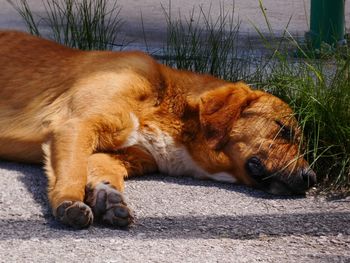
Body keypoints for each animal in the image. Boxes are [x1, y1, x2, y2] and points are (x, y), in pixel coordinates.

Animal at [0, 31, 316, 229]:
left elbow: (102, 169)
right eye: (283, 130)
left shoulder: (121, 154)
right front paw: (70, 201)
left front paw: (108, 196)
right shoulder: (76, 125)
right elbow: (74, 171)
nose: (311, 178)